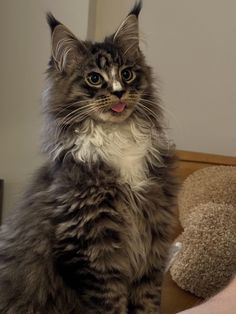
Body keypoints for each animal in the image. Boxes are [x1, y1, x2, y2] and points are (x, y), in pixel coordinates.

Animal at [0, 2, 177, 314]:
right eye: (95, 78)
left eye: (127, 74)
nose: (119, 92)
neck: (117, 136)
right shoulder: (92, 251)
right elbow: (110, 305)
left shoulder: (153, 242)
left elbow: (147, 303)